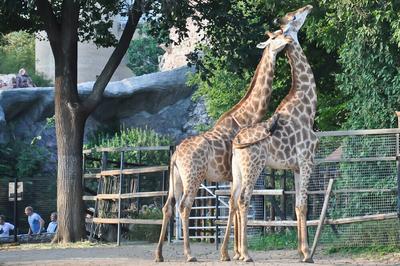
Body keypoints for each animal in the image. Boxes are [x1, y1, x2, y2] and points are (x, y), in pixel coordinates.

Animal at [155, 31, 292, 262]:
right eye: (275, 37)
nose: (289, 40)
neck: (247, 117)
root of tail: (175, 156)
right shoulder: (234, 173)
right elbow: (234, 206)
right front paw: (233, 253)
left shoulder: (230, 175)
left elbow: (233, 207)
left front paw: (234, 253)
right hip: (194, 176)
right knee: (184, 206)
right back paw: (189, 255)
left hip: (176, 179)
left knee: (167, 207)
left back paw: (159, 255)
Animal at [220, 5, 318, 262]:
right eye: (294, 16)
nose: (309, 7)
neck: (309, 108)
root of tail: (236, 141)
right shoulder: (307, 160)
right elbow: (303, 205)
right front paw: (307, 254)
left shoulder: (296, 166)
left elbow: (297, 207)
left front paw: (300, 251)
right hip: (253, 167)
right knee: (243, 200)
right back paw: (245, 254)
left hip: (238, 170)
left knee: (234, 199)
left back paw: (234, 253)